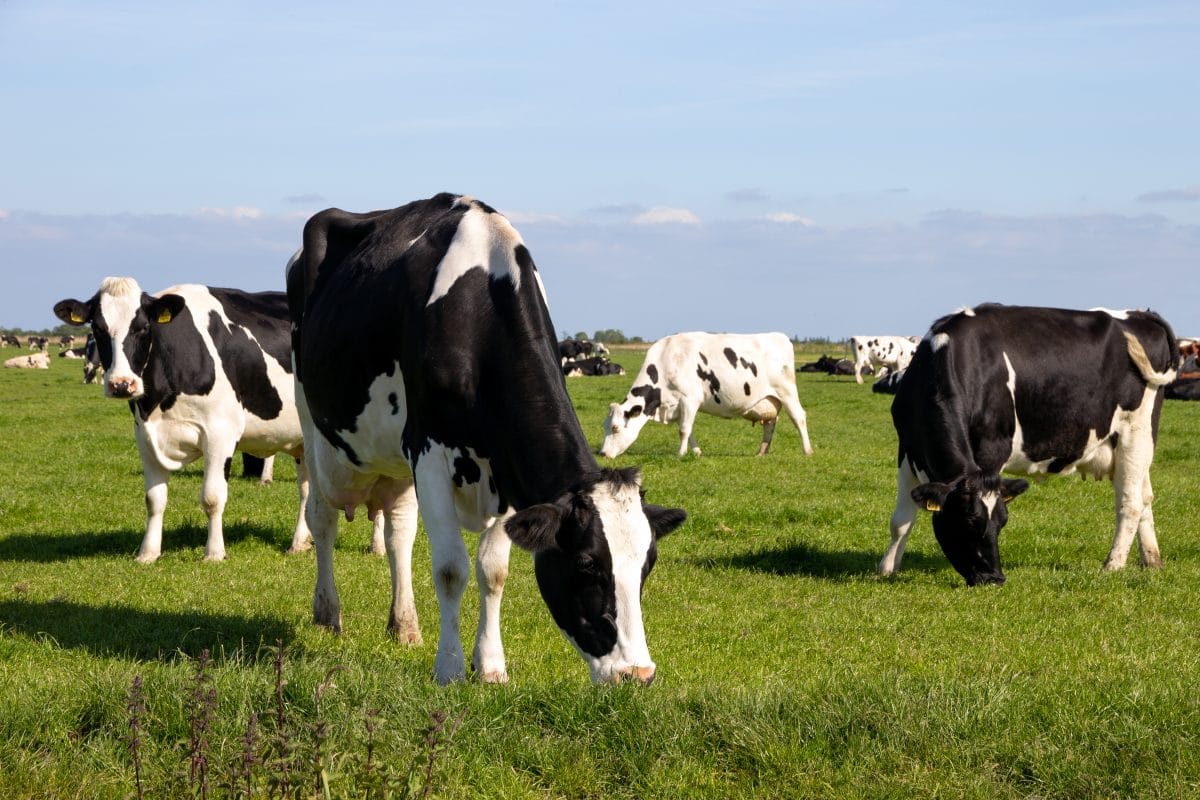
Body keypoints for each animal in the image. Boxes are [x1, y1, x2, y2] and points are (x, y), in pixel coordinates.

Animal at [54, 278, 312, 566]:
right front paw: (148, 553)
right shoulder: (145, 436)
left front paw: (214, 553)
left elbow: (212, 497)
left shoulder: (220, 433)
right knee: (307, 488)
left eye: (143, 328)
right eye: (98, 328)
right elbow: (154, 499)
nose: (121, 384)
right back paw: (300, 543)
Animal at [285, 195, 691, 690]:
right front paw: (450, 668)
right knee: (322, 517)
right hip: (314, 426)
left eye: (647, 565)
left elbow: (493, 571)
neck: (478, 311)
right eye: (586, 566)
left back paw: (404, 625)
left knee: (399, 533)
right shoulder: (428, 452)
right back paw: (327, 613)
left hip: (396, 461)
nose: (638, 673)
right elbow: (450, 568)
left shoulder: (506, 467)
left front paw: (491, 666)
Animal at [600, 331, 816, 455]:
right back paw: (761, 452)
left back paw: (807, 451)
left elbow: (684, 430)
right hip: (770, 399)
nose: (602, 454)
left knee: (799, 417)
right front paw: (696, 452)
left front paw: (680, 454)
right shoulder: (679, 404)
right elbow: (688, 430)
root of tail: (779, 336)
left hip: (786, 391)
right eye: (605, 426)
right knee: (770, 423)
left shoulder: (690, 398)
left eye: (616, 428)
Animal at [878, 303, 1176, 585]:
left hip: (1136, 432)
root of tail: (1140, 314)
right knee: (1145, 497)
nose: (994, 578)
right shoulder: (907, 450)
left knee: (1130, 502)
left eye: (1002, 522)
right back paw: (1152, 561)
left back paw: (1112, 566)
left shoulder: (992, 450)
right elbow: (901, 520)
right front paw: (887, 569)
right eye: (969, 521)